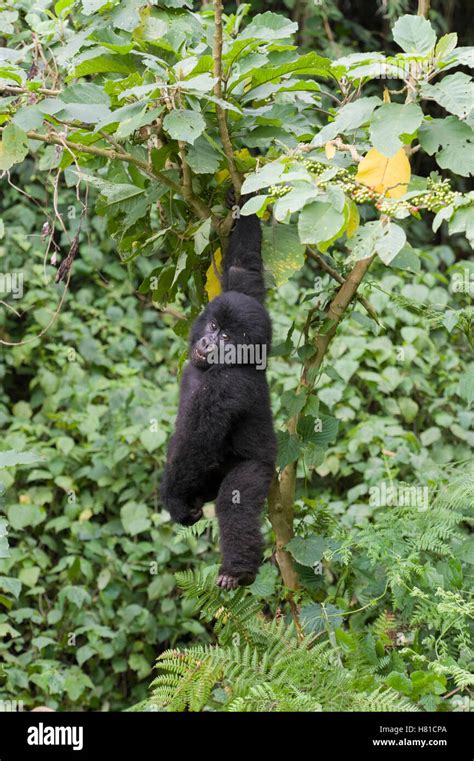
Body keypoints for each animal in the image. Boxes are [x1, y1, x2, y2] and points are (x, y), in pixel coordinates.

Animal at [161, 196, 276, 588]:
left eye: (226, 337)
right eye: (212, 326)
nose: (208, 342)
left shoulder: (228, 385)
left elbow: (197, 441)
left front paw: (174, 501)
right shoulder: (242, 295)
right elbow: (244, 269)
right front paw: (245, 201)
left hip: (259, 468)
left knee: (233, 501)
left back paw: (237, 570)